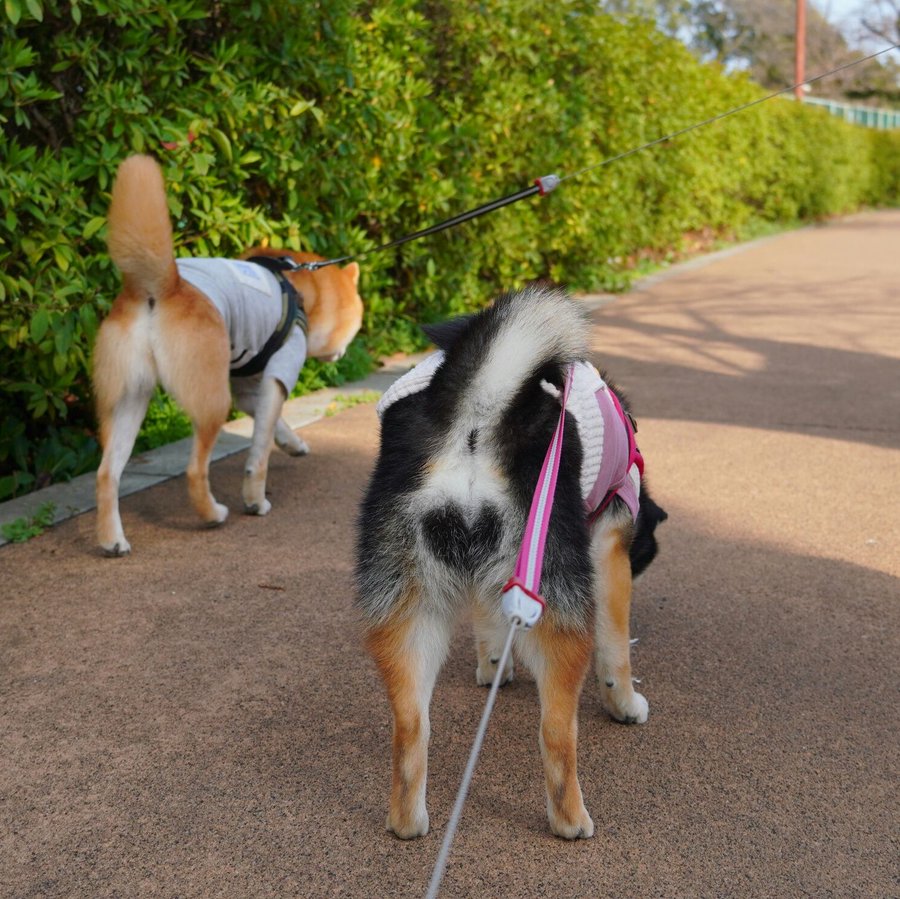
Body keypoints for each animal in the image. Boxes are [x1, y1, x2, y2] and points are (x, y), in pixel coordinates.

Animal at [356, 290, 664, 844]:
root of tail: (477, 416)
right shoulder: (607, 547)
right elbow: (616, 652)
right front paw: (625, 705)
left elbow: (489, 623)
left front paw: (493, 666)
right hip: (559, 602)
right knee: (556, 731)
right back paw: (571, 821)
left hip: (408, 604)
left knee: (410, 724)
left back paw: (408, 823)